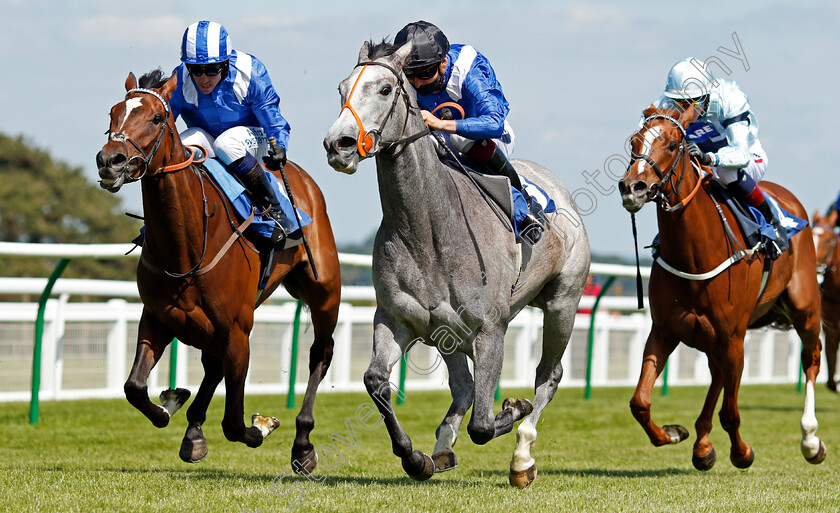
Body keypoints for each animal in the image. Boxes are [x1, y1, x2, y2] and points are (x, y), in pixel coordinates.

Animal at [93, 71, 340, 472]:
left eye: (157, 118)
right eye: (113, 113)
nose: (110, 160)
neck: (186, 246)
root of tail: (300, 179)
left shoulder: (239, 332)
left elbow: (235, 423)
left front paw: (263, 424)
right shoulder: (158, 317)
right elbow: (134, 388)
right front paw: (170, 405)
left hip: (323, 291)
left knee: (320, 353)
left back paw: (303, 444)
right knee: (212, 365)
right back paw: (193, 430)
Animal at [322, 42, 592, 486]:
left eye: (384, 89)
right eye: (342, 88)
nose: (338, 144)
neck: (428, 228)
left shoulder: (490, 329)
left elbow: (483, 424)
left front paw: (513, 409)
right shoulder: (397, 318)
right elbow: (376, 381)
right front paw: (414, 457)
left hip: (562, 304)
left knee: (547, 377)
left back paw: (523, 454)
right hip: (447, 333)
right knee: (464, 386)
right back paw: (442, 447)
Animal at [616, 106, 828, 470]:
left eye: (672, 144)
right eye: (634, 142)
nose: (633, 187)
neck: (694, 255)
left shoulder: (734, 338)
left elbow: (731, 413)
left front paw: (742, 452)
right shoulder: (665, 330)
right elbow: (639, 402)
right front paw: (673, 433)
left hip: (805, 308)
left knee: (811, 359)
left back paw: (810, 440)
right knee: (716, 375)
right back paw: (702, 444)